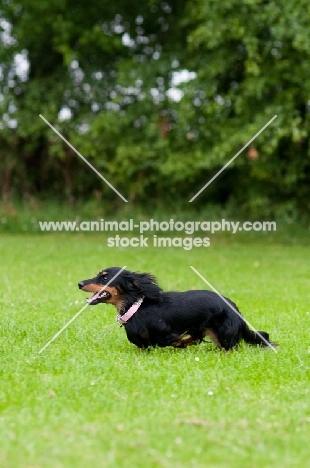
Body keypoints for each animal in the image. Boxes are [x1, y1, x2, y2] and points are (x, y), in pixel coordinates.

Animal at [78, 266, 274, 352]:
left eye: (105, 277)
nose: (79, 283)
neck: (137, 307)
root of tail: (236, 309)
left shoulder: (165, 334)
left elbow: (171, 340)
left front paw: (181, 343)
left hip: (223, 336)